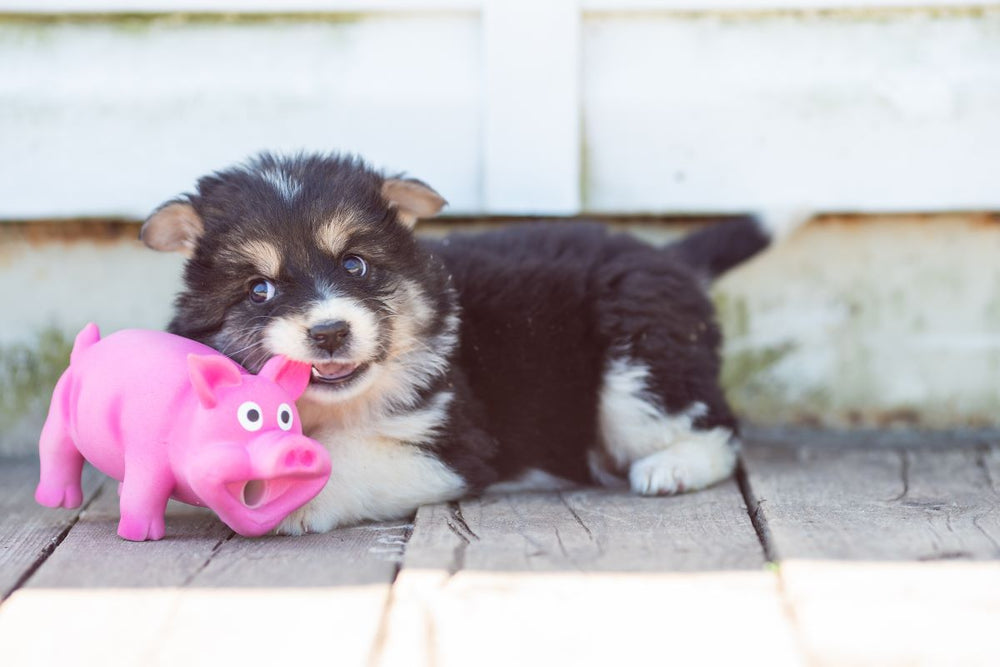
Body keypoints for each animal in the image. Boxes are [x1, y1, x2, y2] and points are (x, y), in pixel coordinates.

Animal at [139, 153, 796, 536]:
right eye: (260, 289)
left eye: (354, 264)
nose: (329, 332)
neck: (337, 407)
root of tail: (668, 257)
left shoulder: (450, 442)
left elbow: (347, 460)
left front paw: (289, 500)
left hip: (637, 366)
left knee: (717, 428)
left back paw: (671, 469)